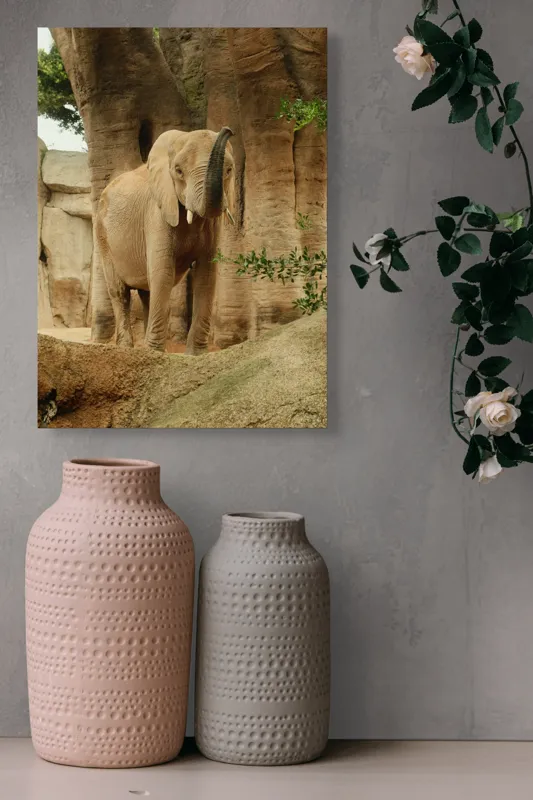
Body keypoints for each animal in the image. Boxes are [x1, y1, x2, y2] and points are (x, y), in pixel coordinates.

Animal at [95, 126, 235, 353]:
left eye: (229, 170)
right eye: (178, 171)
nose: (227, 130)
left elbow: (206, 274)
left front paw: (195, 355)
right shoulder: (156, 212)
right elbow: (163, 272)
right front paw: (154, 353)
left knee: (147, 292)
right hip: (102, 234)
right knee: (120, 292)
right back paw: (127, 348)